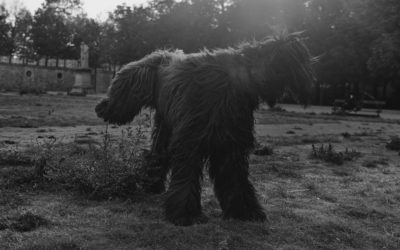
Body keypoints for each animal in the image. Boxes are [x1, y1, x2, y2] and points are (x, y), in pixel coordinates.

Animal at [95, 34, 314, 226]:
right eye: (299, 61)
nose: (310, 84)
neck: (237, 82)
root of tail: (162, 53)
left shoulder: (231, 146)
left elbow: (237, 180)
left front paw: (244, 211)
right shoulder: (190, 142)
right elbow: (187, 177)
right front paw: (185, 214)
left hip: (165, 123)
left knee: (158, 153)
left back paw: (152, 184)